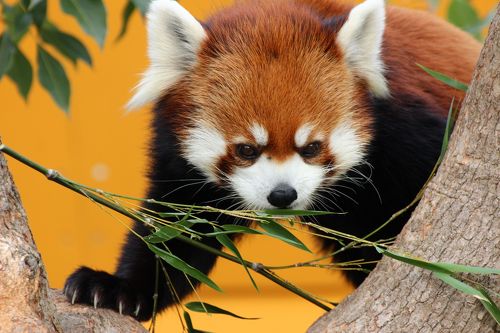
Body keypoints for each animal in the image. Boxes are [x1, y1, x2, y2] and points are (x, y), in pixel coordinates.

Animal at [62, 0, 480, 320]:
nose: (282, 195)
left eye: (311, 147)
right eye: (247, 149)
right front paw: (117, 288)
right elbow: (176, 237)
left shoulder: (408, 132)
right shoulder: (180, 164)